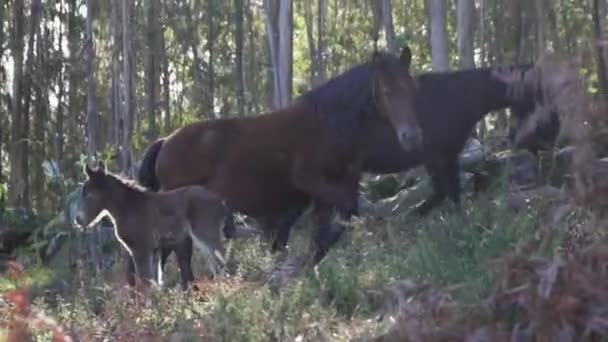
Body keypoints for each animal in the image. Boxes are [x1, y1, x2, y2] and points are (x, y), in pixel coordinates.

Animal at [73, 162, 230, 288]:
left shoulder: (140, 249)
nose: (78, 220)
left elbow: (146, 281)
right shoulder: (153, 251)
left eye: (88, 194)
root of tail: (221, 202)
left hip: (206, 235)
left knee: (222, 261)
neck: (128, 207)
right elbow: (153, 281)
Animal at [135, 48, 420, 288]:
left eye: (411, 88)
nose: (411, 136)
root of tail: (165, 141)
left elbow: (324, 234)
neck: (328, 124)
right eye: (387, 91)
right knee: (181, 250)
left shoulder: (325, 195)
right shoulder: (315, 184)